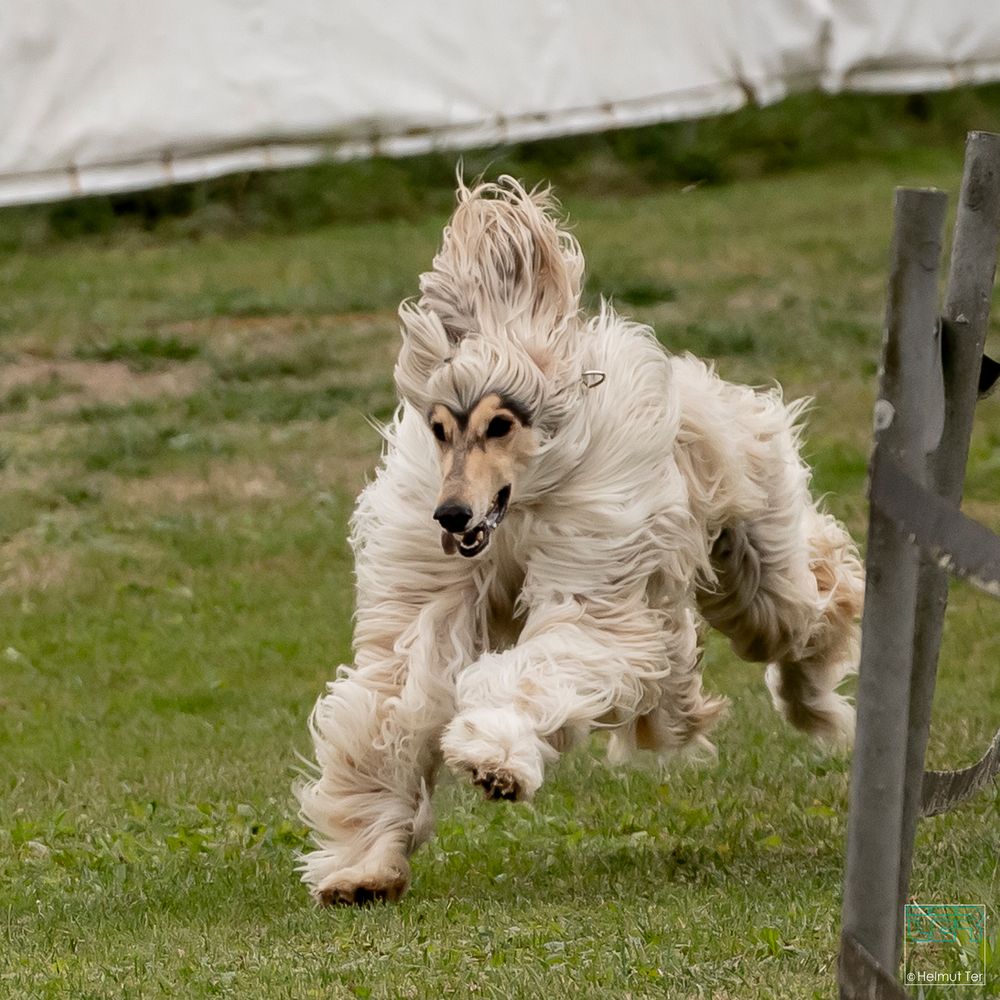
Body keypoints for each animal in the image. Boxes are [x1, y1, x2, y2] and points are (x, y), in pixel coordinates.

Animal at [294, 178, 860, 908]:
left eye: (501, 424)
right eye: (441, 427)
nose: (450, 515)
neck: (522, 505)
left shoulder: (591, 562)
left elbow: (553, 650)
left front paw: (494, 760)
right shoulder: (429, 588)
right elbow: (398, 694)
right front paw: (365, 867)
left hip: (751, 536)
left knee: (804, 606)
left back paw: (814, 702)